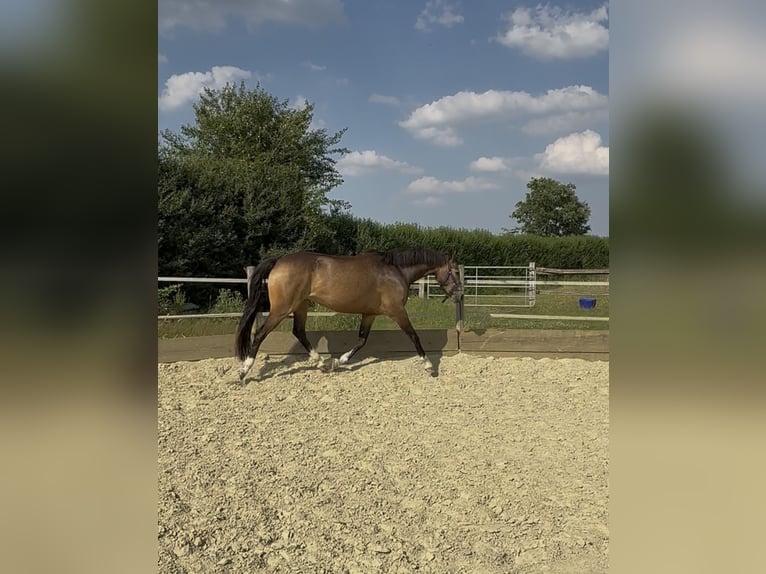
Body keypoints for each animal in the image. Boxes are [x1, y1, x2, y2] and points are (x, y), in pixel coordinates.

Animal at [235, 249, 463, 380]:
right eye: (456, 271)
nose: (459, 294)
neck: (396, 271)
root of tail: (279, 262)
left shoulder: (369, 314)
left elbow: (361, 340)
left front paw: (339, 361)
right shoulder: (397, 311)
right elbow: (414, 336)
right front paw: (429, 366)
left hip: (301, 306)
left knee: (299, 332)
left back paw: (322, 363)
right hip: (282, 308)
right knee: (260, 334)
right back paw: (244, 371)